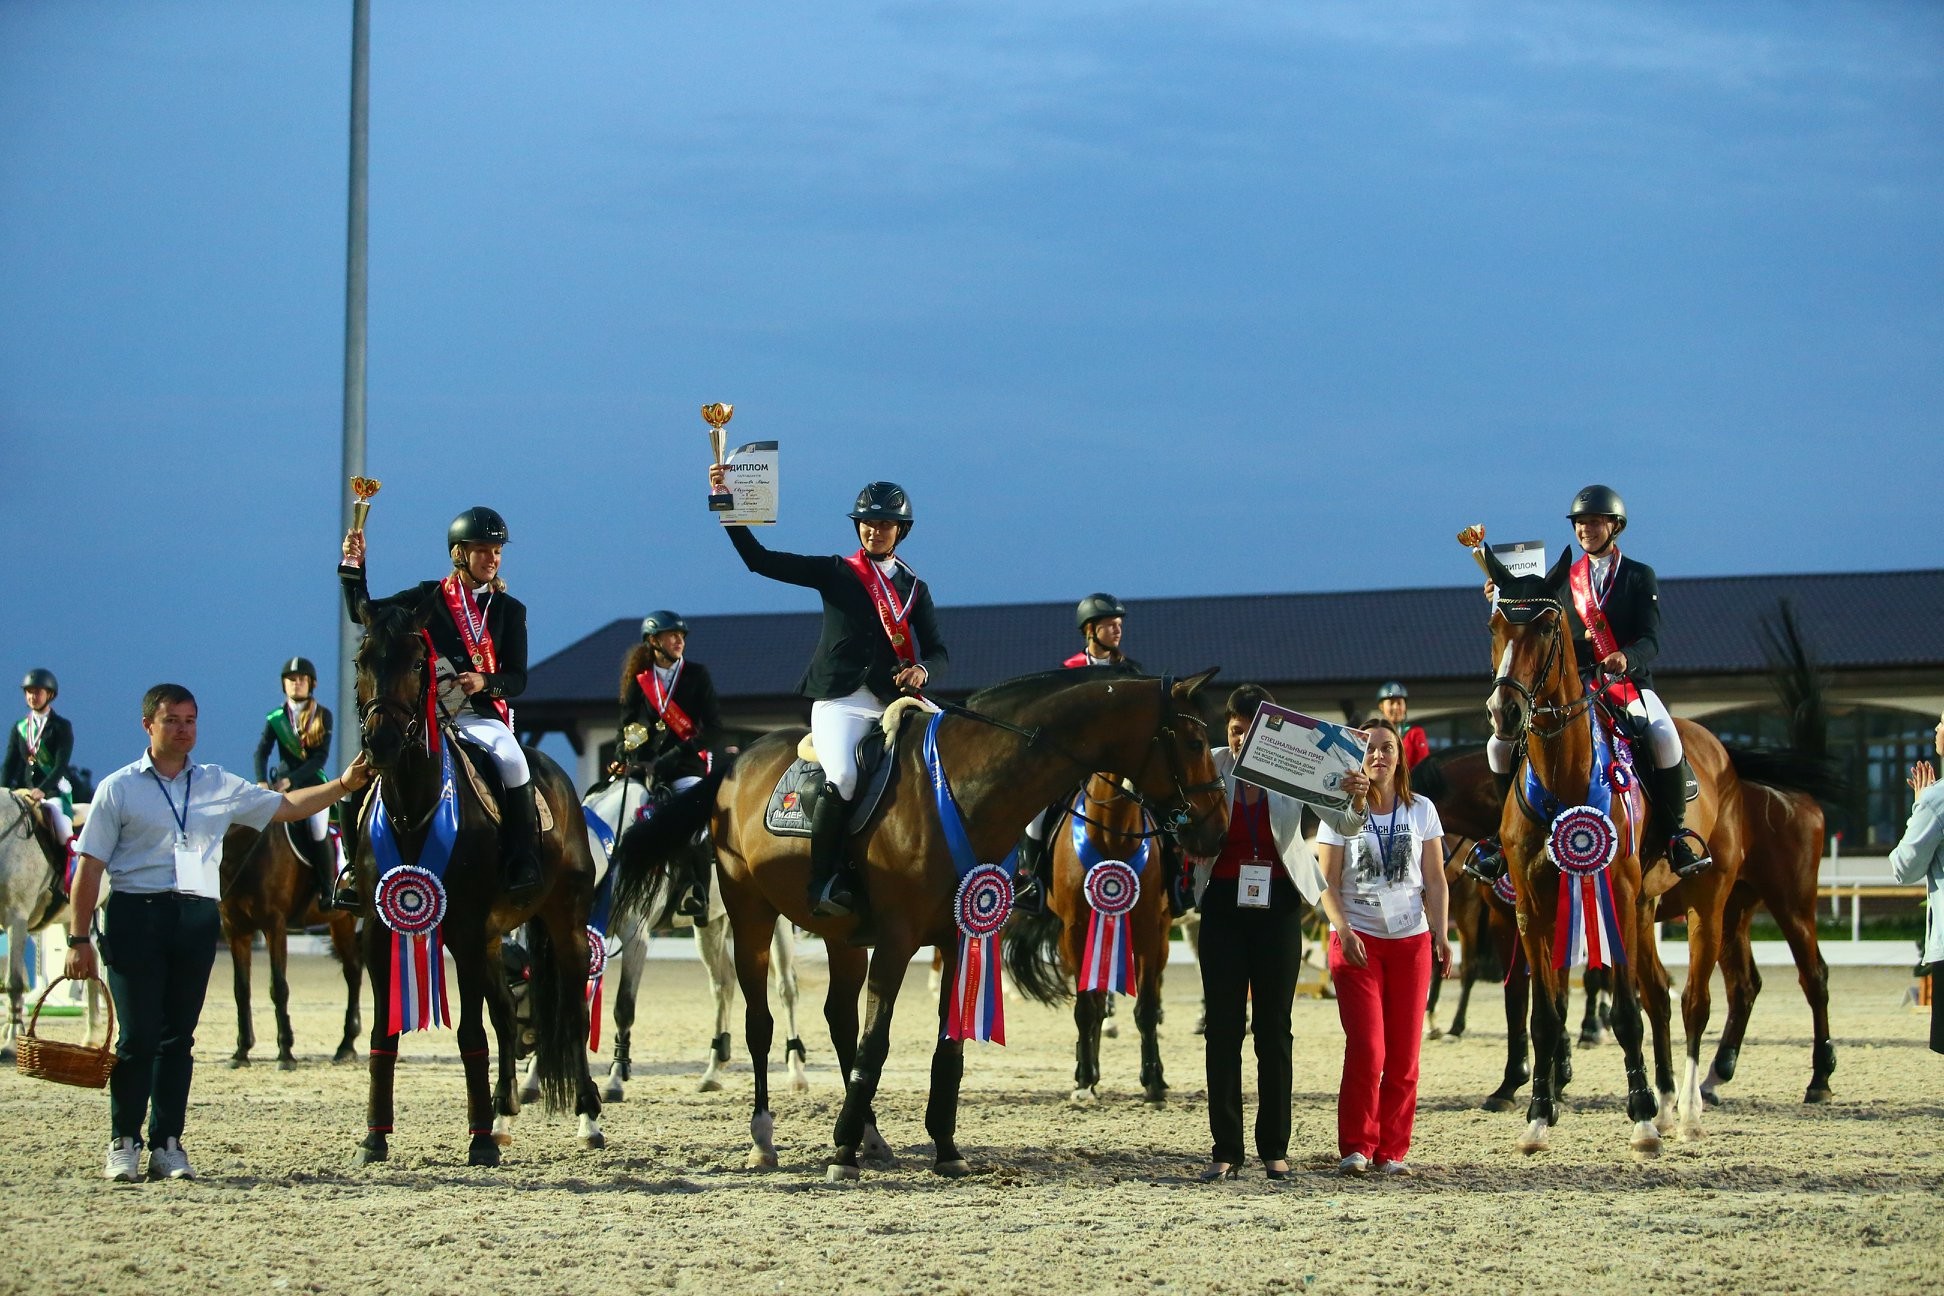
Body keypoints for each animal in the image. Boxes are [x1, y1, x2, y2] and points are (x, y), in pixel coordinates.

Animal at [218, 827, 363, 1072]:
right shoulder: (235, 930)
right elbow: (241, 990)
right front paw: (241, 1052)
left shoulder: (274, 925)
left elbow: (278, 987)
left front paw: (285, 1054)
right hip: (341, 920)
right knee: (353, 971)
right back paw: (346, 1046)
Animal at [342, 602, 598, 1173]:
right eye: (361, 660)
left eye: (419, 662)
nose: (379, 743)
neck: (412, 808)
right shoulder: (379, 932)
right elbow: (384, 1034)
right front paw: (374, 1138)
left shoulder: (461, 928)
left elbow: (469, 1033)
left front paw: (478, 1142)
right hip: (490, 939)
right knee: (505, 1014)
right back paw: (502, 1112)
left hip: (564, 923)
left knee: (571, 1011)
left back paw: (588, 1117)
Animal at [1003, 777, 1166, 1111]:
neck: (1113, 834)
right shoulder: (1076, 930)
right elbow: (1086, 1009)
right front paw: (1084, 1082)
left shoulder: (1147, 929)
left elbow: (1145, 1009)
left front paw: (1153, 1084)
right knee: (1096, 1005)